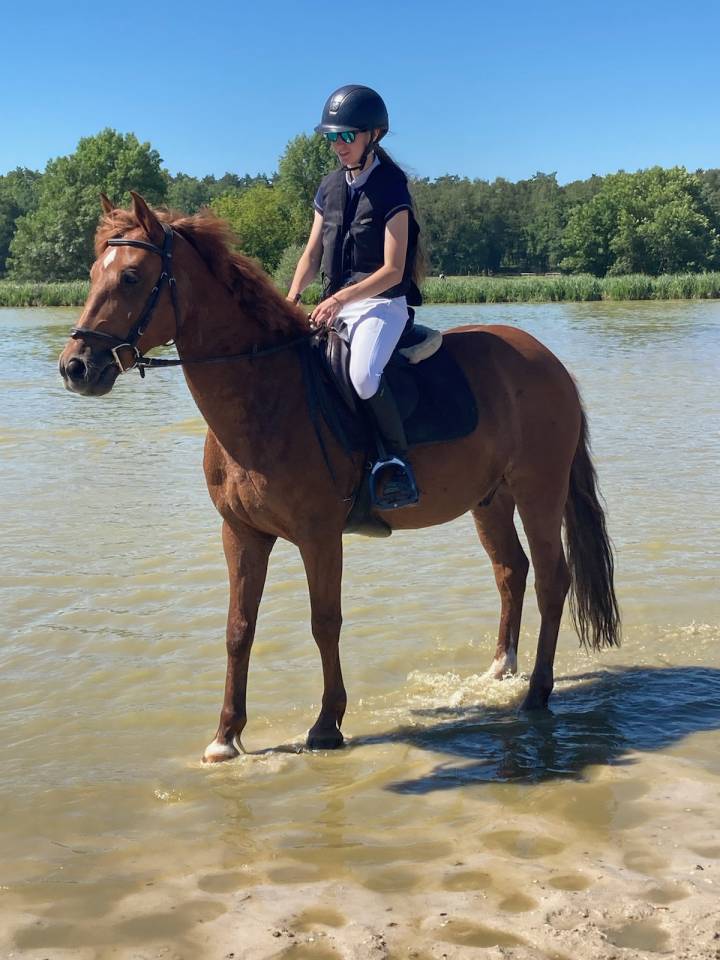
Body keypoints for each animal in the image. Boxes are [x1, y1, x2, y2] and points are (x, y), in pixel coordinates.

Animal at [58, 192, 621, 764]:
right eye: (93, 273)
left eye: (131, 276)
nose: (75, 367)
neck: (265, 393)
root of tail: (545, 358)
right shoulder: (241, 533)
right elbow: (239, 628)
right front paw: (225, 736)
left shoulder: (320, 536)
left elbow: (324, 623)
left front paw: (327, 724)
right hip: (490, 501)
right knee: (511, 571)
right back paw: (501, 670)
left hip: (538, 492)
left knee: (552, 580)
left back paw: (537, 693)